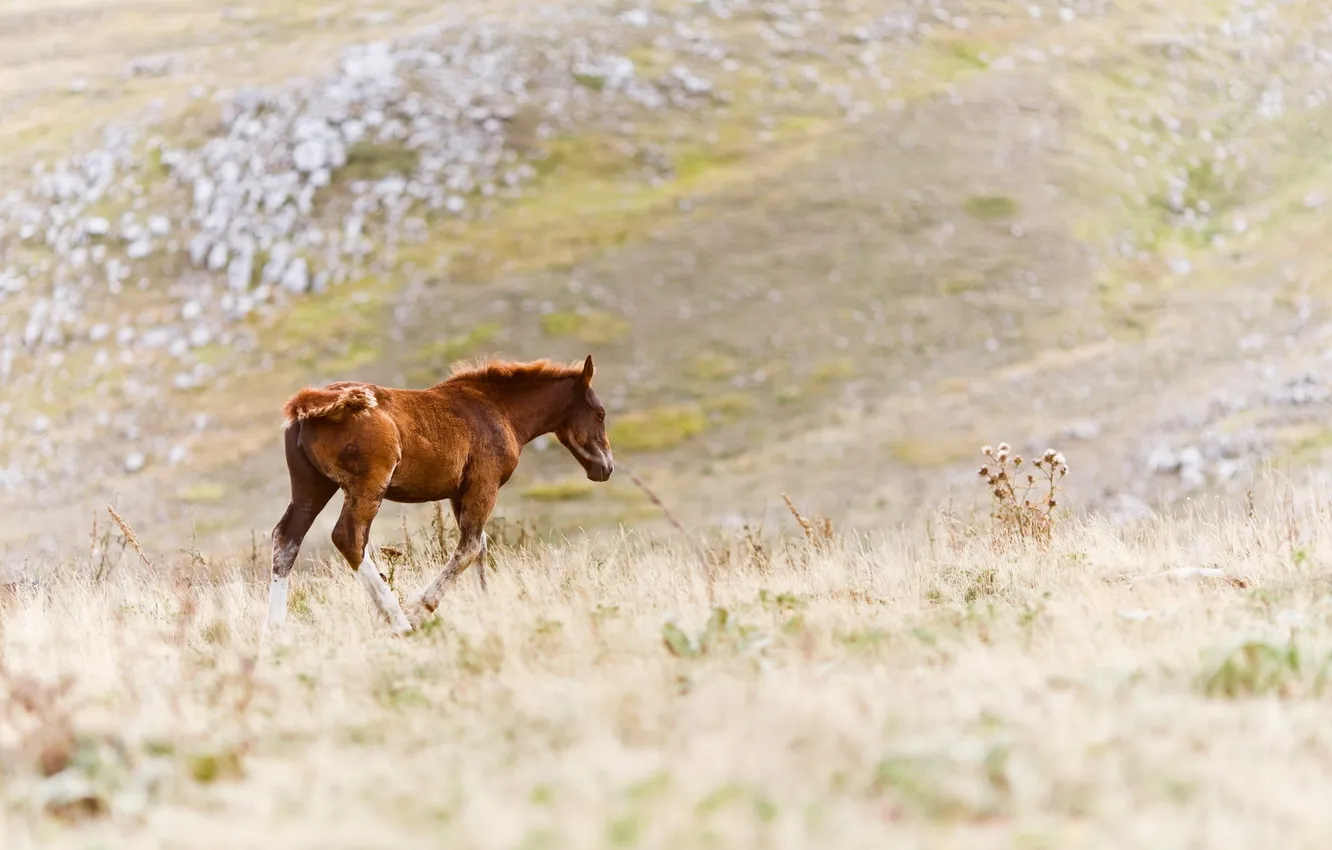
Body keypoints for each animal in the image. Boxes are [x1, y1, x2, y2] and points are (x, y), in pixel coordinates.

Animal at [262, 354, 615, 638]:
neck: (497, 409)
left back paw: (275, 632)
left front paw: (486, 609)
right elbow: (469, 548)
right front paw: (421, 607)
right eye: (600, 413)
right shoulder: (484, 485)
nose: (606, 467)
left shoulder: (460, 493)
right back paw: (400, 622)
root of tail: (312, 405)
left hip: (311, 488)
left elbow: (479, 547)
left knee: (287, 538)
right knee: (349, 538)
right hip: (367, 486)